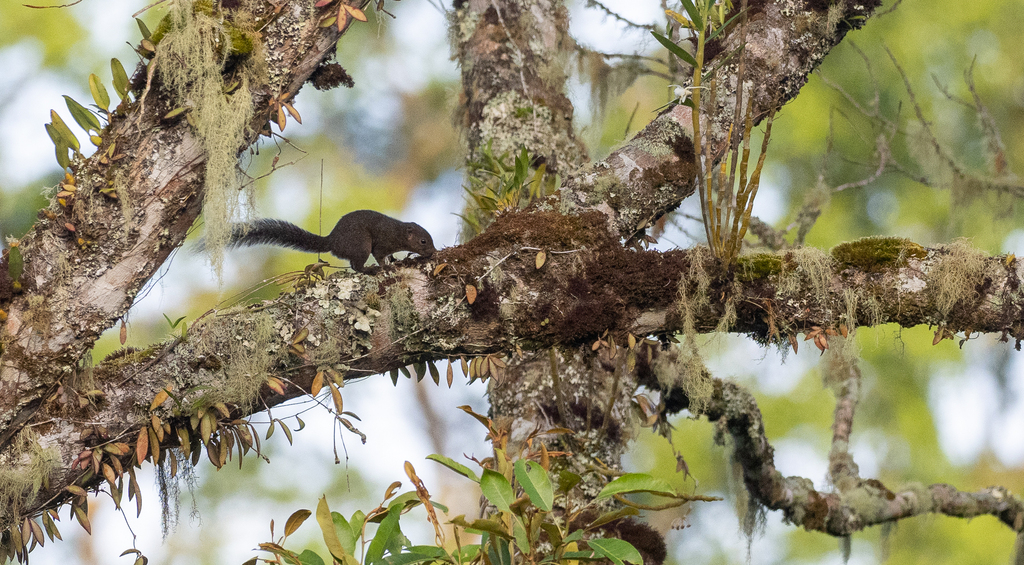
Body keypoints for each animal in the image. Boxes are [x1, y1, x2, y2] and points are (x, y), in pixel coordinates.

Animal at [226, 210, 436, 273]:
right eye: (423, 241)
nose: (433, 252)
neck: (398, 232)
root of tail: (332, 241)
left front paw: (394, 260)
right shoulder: (384, 242)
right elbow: (379, 255)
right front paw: (385, 266)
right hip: (361, 245)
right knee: (356, 266)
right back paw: (369, 269)